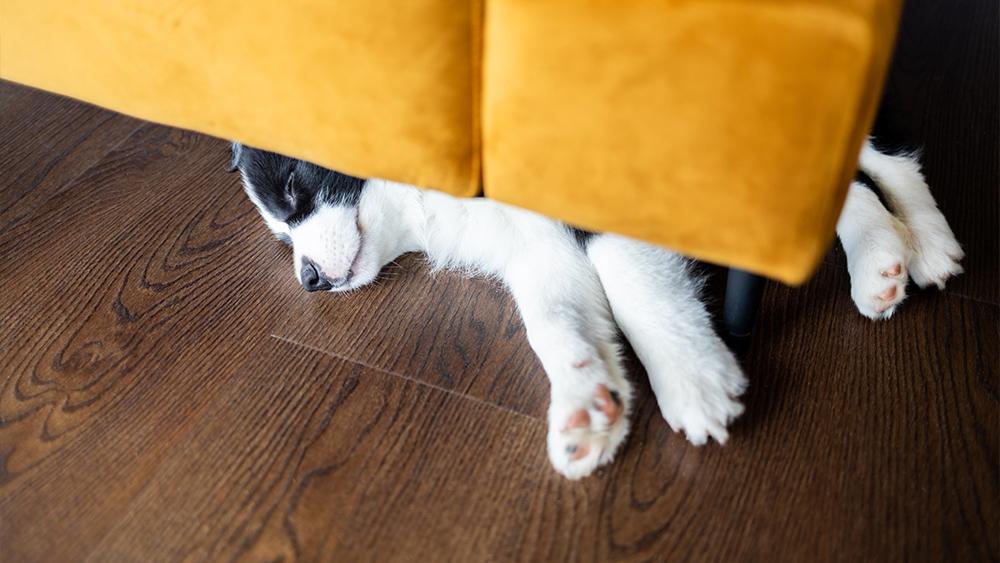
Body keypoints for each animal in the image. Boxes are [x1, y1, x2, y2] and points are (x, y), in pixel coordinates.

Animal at [230, 141, 964, 480]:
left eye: (294, 184)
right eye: (282, 234)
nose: (308, 280)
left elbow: (636, 290)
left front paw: (693, 380)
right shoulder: (536, 249)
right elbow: (555, 323)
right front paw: (588, 407)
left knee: (884, 162)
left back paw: (921, 243)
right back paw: (893, 255)